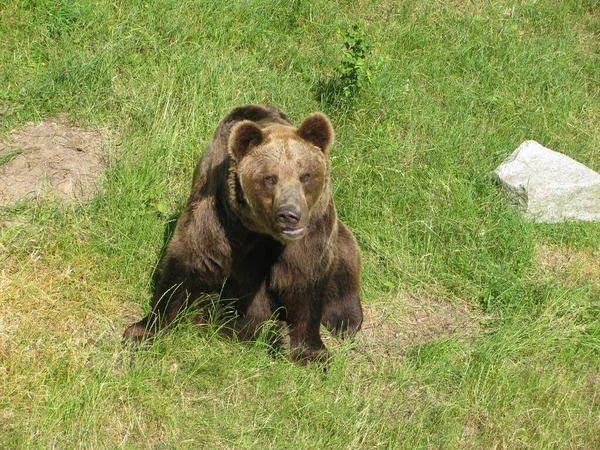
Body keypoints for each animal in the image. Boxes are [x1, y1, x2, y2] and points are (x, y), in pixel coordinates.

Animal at [124, 104, 364, 362]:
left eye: (306, 175)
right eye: (270, 178)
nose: (289, 214)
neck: (262, 231)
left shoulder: (313, 229)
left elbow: (306, 275)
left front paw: (310, 352)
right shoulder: (221, 216)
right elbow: (192, 260)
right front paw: (142, 331)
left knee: (346, 258)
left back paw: (345, 319)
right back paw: (269, 331)